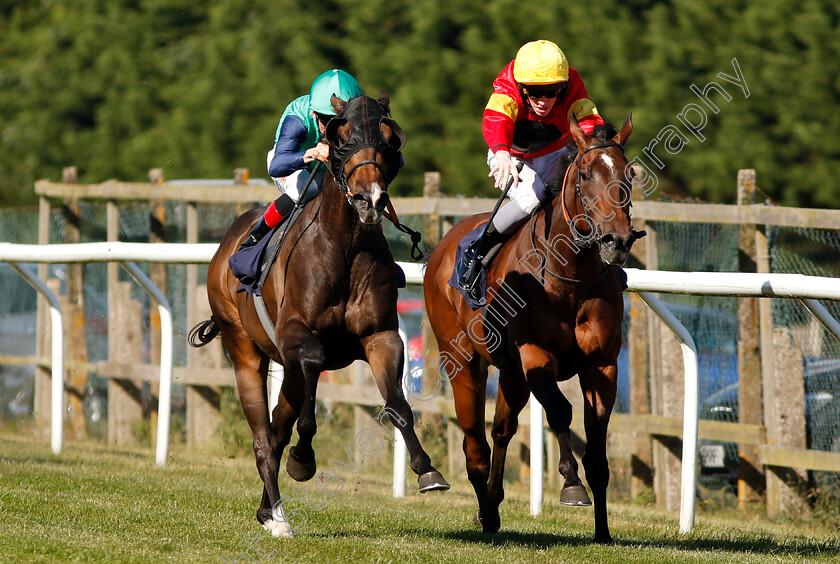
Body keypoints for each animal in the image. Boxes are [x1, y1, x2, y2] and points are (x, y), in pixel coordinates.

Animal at [192, 92, 446, 536]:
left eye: (389, 140)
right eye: (341, 138)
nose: (369, 200)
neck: (343, 247)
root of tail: (226, 245)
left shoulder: (381, 336)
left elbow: (398, 405)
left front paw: (426, 470)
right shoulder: (296, 335)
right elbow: (311, 378)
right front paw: (303, 459)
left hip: (286, 369)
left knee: (277, 429)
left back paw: (267, 511)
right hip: (244, 350)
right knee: (264, 436)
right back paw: (279, 518)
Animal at [424, 113, 640, 540]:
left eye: (629, 172)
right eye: (586, 174)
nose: (617, 239)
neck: (570, 275)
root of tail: (443, 245)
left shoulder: (602, 365)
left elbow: (597, 447)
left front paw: (603, 532)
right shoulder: (535, 355)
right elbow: (559, 412)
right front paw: (571, 485)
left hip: (510, 374)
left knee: (501, 430)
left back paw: (491, 508)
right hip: (465, 365)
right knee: (474, 444)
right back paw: (484, 511)